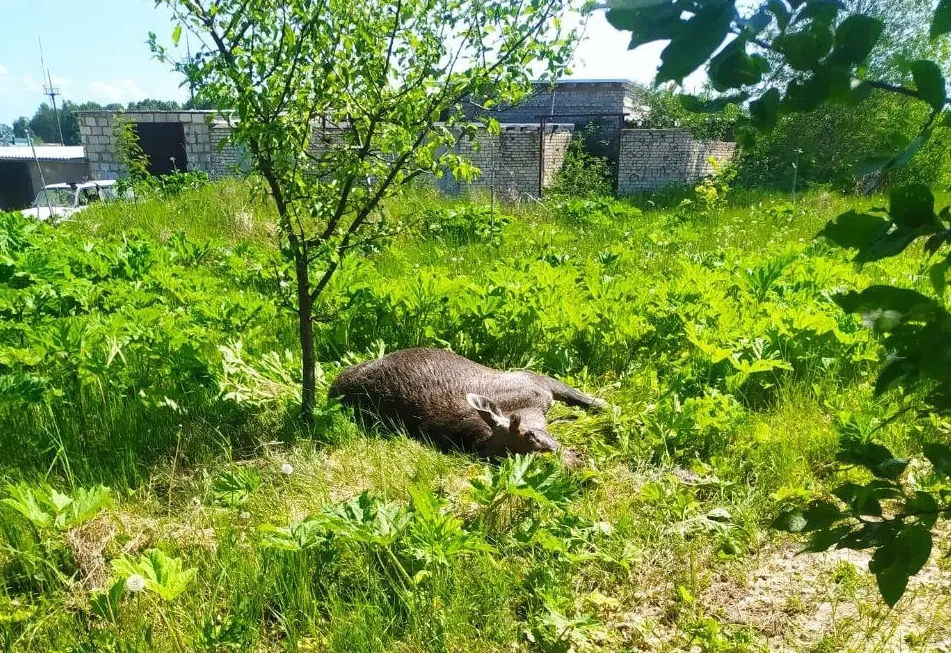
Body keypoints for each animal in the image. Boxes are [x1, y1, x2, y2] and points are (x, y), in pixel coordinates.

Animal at [328, 347, 607, 467]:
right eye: (506, 460)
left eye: (530, 435)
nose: (576, 463)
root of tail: (332, 388)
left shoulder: (538, 381)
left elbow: (587, 398)